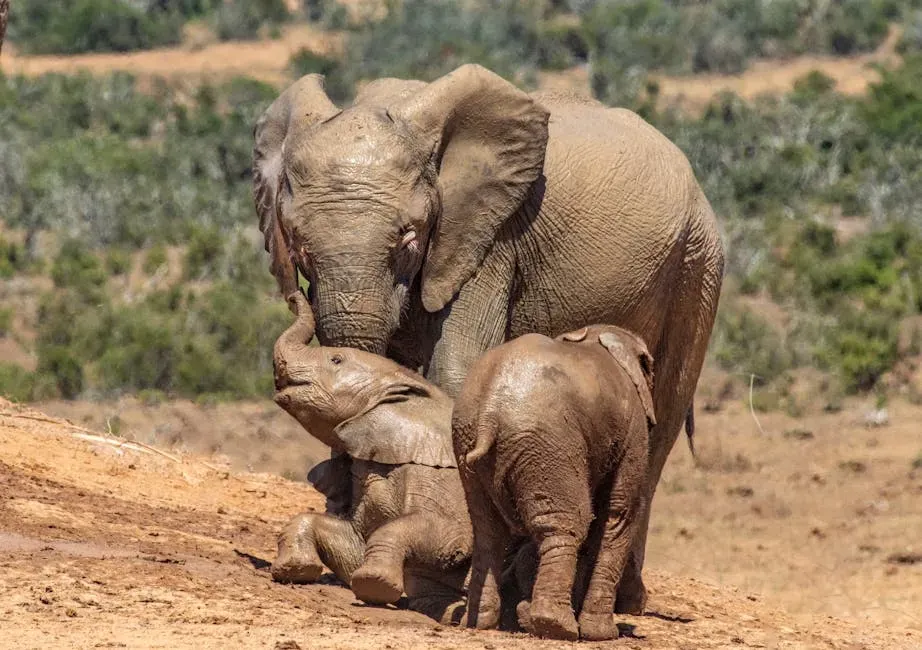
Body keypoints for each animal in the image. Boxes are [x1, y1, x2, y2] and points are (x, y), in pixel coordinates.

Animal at [270, 290, 472, 623]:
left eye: (336, 359)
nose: (293, 294)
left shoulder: (437, 479)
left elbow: (451, 537)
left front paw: (374, 585)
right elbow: (350, 541)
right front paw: (294, 570)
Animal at [451, 325, 655, 641]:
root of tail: (489, 411)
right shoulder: (634, 430)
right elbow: (619, 513)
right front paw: (603, 634)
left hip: (469, 439)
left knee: (488, 531)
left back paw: (481, 622)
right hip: (548, 441)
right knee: (567, 524)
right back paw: (555, 625)